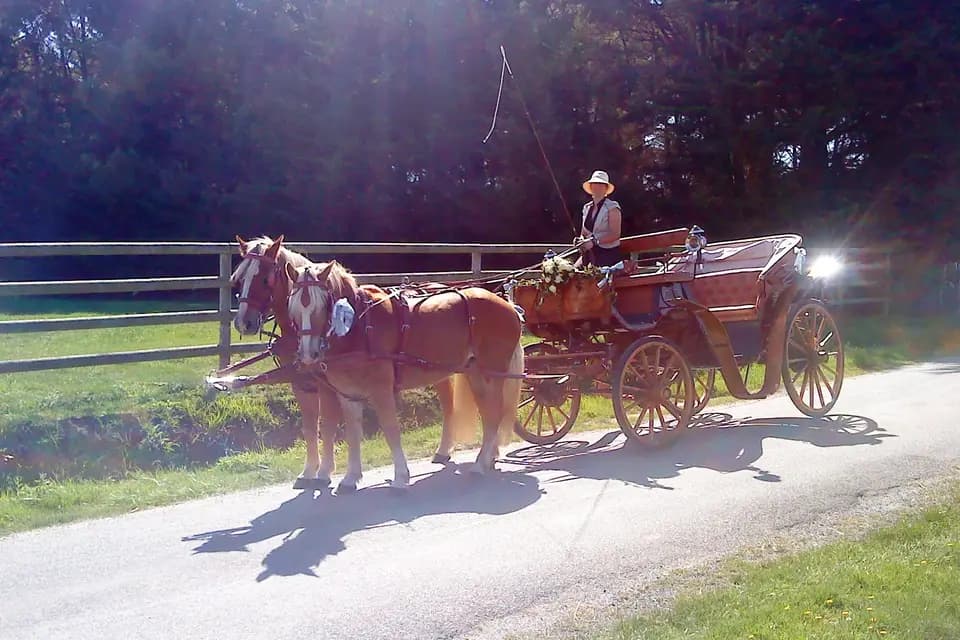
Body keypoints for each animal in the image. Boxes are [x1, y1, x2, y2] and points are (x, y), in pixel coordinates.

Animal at [229, 236, 479, 492]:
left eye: (265, 278)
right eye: (239, 278)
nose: (243, 323)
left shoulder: (329, 387)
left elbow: (328, 425)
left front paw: (324, 472)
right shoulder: (302, 384)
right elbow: (310, 427)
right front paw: (309, 471)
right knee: (448, 402)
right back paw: (443, 450)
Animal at [285, 259, 525, 489]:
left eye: (322, 304)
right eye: (293, 307)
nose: (308, 354)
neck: (360, 326)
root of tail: (509, 306)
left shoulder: (381, 390)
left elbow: (391, 428)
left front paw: (400, 477)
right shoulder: (349, 394)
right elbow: (353, 433)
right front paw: (351, 478)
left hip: (492, 374)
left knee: (494, 413)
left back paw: (480, 464)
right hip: (475, 374)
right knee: (489, 413)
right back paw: (486, 459)